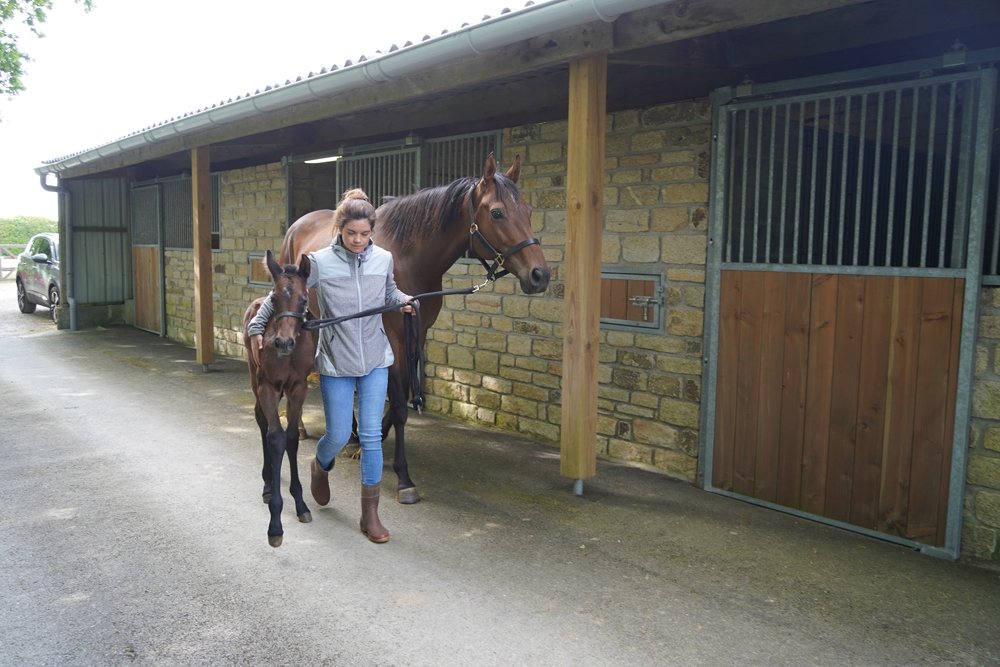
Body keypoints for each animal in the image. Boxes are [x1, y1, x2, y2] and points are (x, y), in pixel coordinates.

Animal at [280, 153, 550, 504]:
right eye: (497, 212)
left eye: (528, 211)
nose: (540, 275)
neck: (407, 257)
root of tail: (298, 225)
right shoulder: (393, 340)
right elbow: (398, 404)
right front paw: (403, 478)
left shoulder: (416, 333)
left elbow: (404, 396)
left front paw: (370, 439)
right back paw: (302, 427)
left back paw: (350, 435)